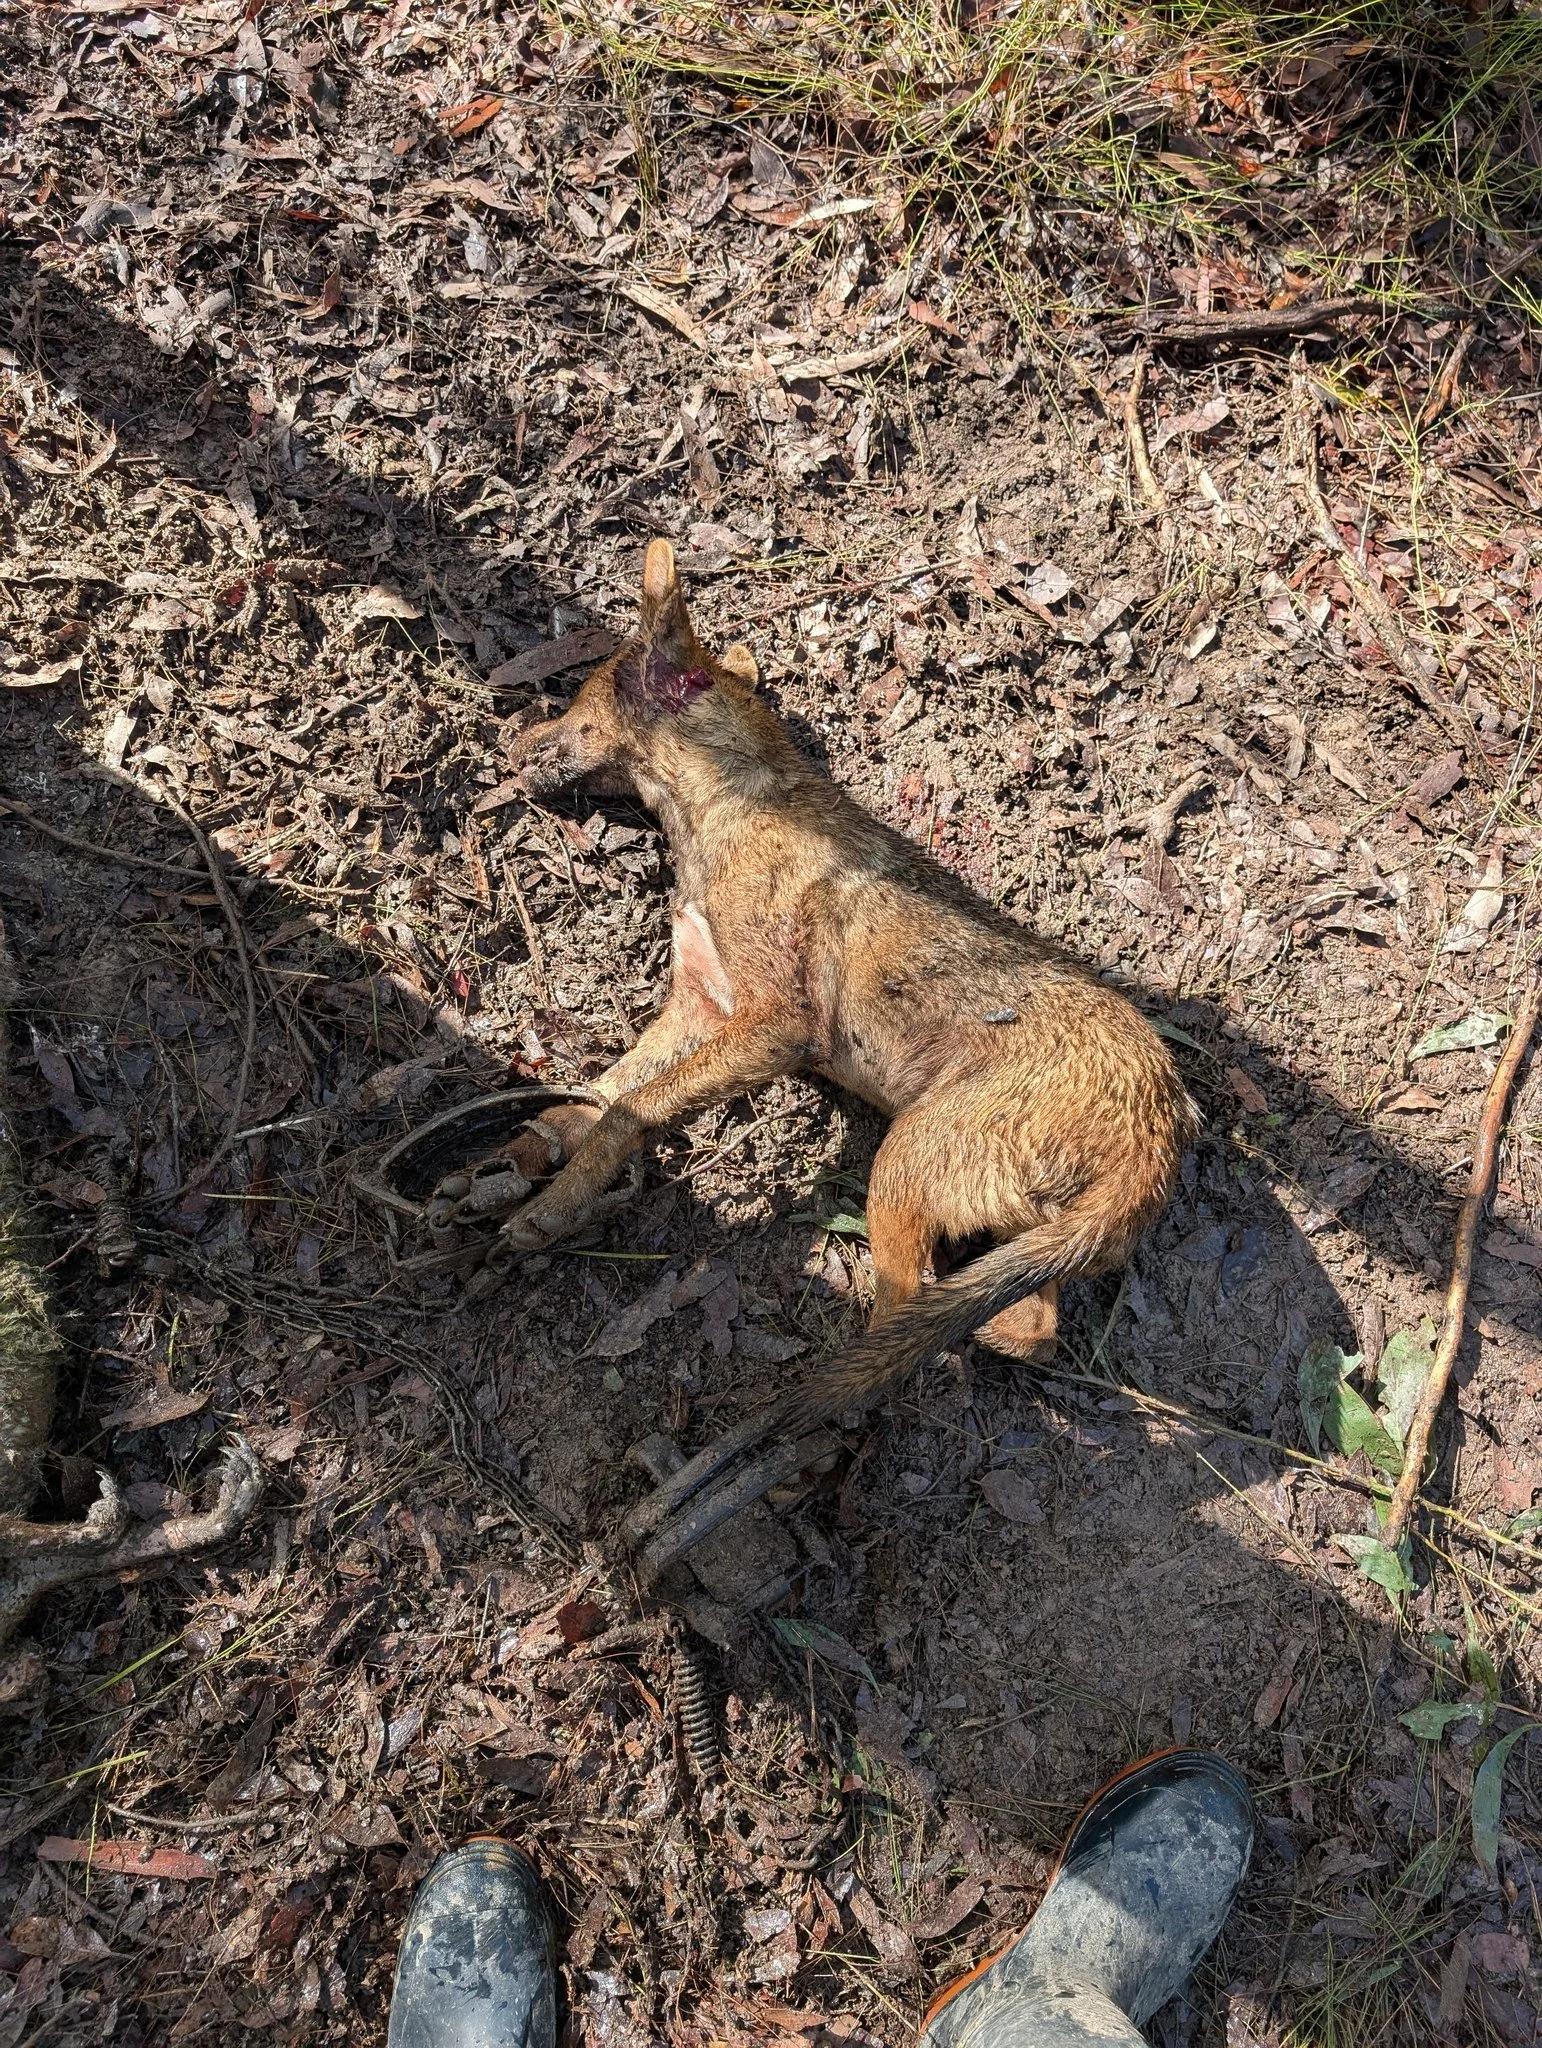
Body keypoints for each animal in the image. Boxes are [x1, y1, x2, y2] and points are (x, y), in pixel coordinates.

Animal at [478, 541, 1197, 1559]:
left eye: (573, 706)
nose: (505, 746)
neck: (721, 809)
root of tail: (1159, 1134)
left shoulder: (772, 1026)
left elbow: (630, 1116)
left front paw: (553, 1210)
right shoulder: (696, 1008)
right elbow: (600, 1095)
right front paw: (522, 1154)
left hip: (905, 1160)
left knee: (910, 1316)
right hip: (1007, 1217)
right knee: (1018, 1325)